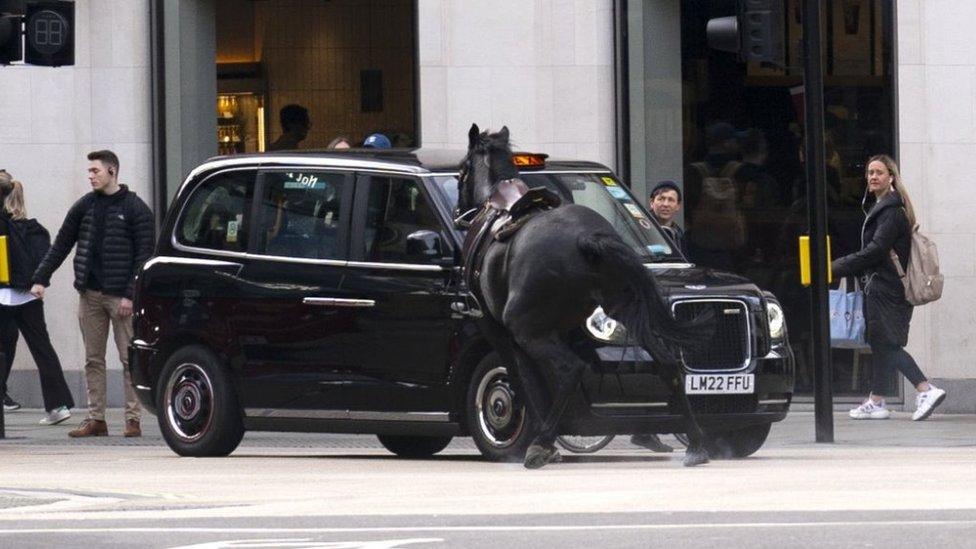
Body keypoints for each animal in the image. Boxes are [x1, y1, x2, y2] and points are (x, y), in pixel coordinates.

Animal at [458, 125, 716, 466]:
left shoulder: (498, 330)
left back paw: (541, 443)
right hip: (627, 310)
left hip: (525, 328)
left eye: (462, 169)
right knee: (668, 364)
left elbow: (524, 378)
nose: (459, 210)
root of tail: (587, 238)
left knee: (569, 370)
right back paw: (696, 444)